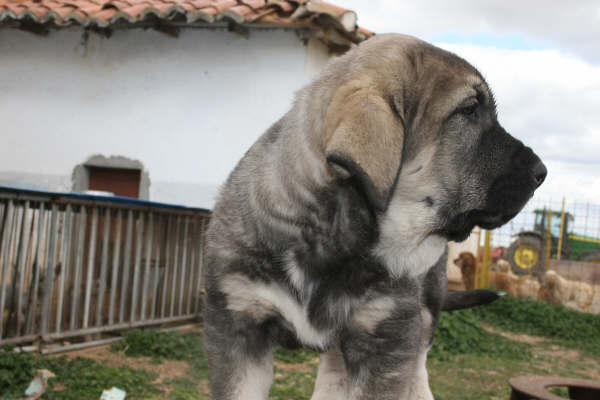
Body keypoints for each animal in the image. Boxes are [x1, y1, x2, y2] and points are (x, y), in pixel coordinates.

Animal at [200, 35, 544, 400]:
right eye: (468, 110)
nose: (542, 172)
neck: (329, 235)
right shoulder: (237, 329)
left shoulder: (388, 337)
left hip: (426, 307)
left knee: (418, 362)